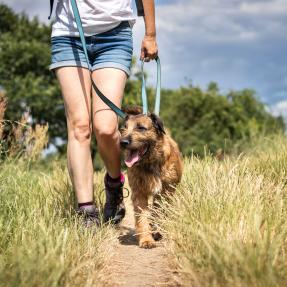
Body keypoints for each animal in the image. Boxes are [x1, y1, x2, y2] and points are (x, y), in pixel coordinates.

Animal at [120, 107, 183, 249]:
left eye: (141, 128)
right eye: (124, 128)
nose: (123, 142)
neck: (150, 163)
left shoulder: (165, 191)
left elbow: (159, 211)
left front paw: (156, 230)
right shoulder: (139, 193)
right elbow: (142, 217)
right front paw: (146, 240)